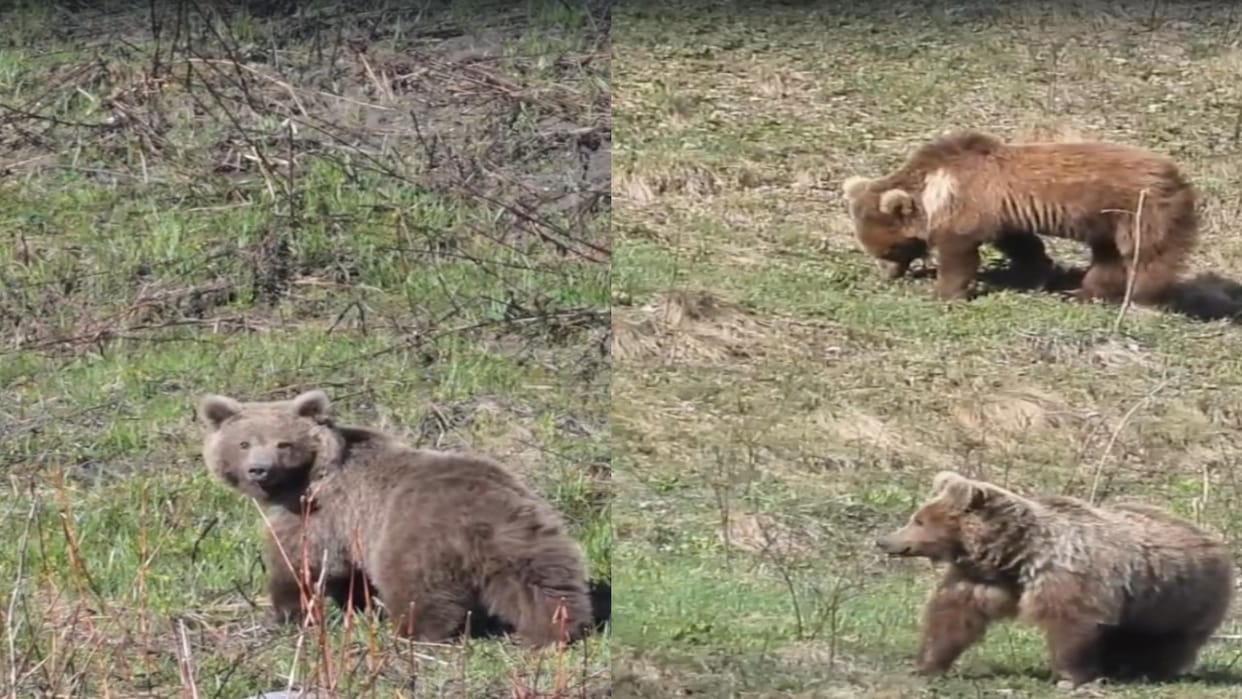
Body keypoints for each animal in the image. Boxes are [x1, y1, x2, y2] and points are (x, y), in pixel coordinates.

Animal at [198, 388, 606, 647]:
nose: (259, 470)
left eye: (283, 443)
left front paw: (287, 613)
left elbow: (301, 561)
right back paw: (560, 630)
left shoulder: (320, 511)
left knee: (416, 592)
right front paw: (356, 605)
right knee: (547, 585)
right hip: (531, 535)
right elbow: (347, 576)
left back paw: (412, 633)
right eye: (244, 443)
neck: (306, 477)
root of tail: (482, 520)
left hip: (412, 538)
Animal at [841, 129, 1199, 304]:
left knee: (1147, 257)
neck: (931, 190)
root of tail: (1180, 176)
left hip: (1141, 212)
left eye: (891, 249)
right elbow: (1021, 243)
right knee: (1109, 258)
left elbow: (958, 252)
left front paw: (945, 293)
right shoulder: (1003, 213)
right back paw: (1079, 293)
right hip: (1108, 224)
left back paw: (1140, 298)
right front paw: (1037, 270)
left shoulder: (967, 204)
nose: (887, 274)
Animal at [875, 471, 1233, 688]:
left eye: (918, 520)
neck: (1015, 556)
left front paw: (1071, 676)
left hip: (1177, 598)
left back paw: (1142, 670)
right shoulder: (985, 579)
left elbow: (1073, 622)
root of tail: (1213, 539)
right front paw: (926, 664)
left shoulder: (1069, 576)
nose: (884, 541)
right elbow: (953, 614)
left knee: (1161, 640)